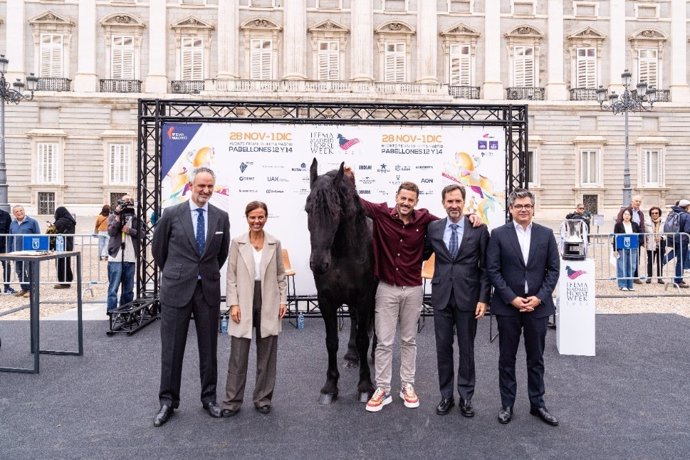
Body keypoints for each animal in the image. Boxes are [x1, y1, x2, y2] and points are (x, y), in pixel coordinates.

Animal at [304, 160, 374, 404]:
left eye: (335, 212)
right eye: (308, 209)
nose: (318, 264)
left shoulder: (364, 297)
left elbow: (363, 338)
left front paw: (365, 385)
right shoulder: (326, 300)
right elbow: (331, 341)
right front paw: (330, 386)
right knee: (353, 321)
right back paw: (352, 356)